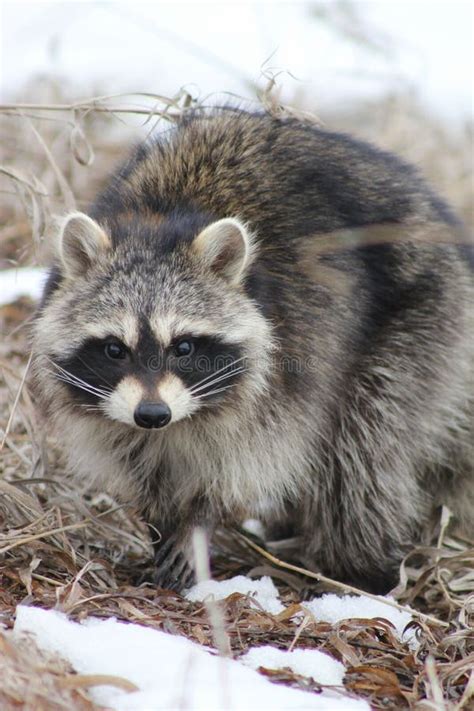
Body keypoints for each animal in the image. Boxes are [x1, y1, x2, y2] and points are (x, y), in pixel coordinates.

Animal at [30, 107, 474, 596]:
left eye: (183, 346)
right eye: (114, 348)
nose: (152, 415)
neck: (161, 221)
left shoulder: (287, 367)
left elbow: (247, 462)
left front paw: (199, 522)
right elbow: (142, 464)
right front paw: (162, 523)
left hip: (418, 320)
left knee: (363, 453)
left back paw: (359, 569)